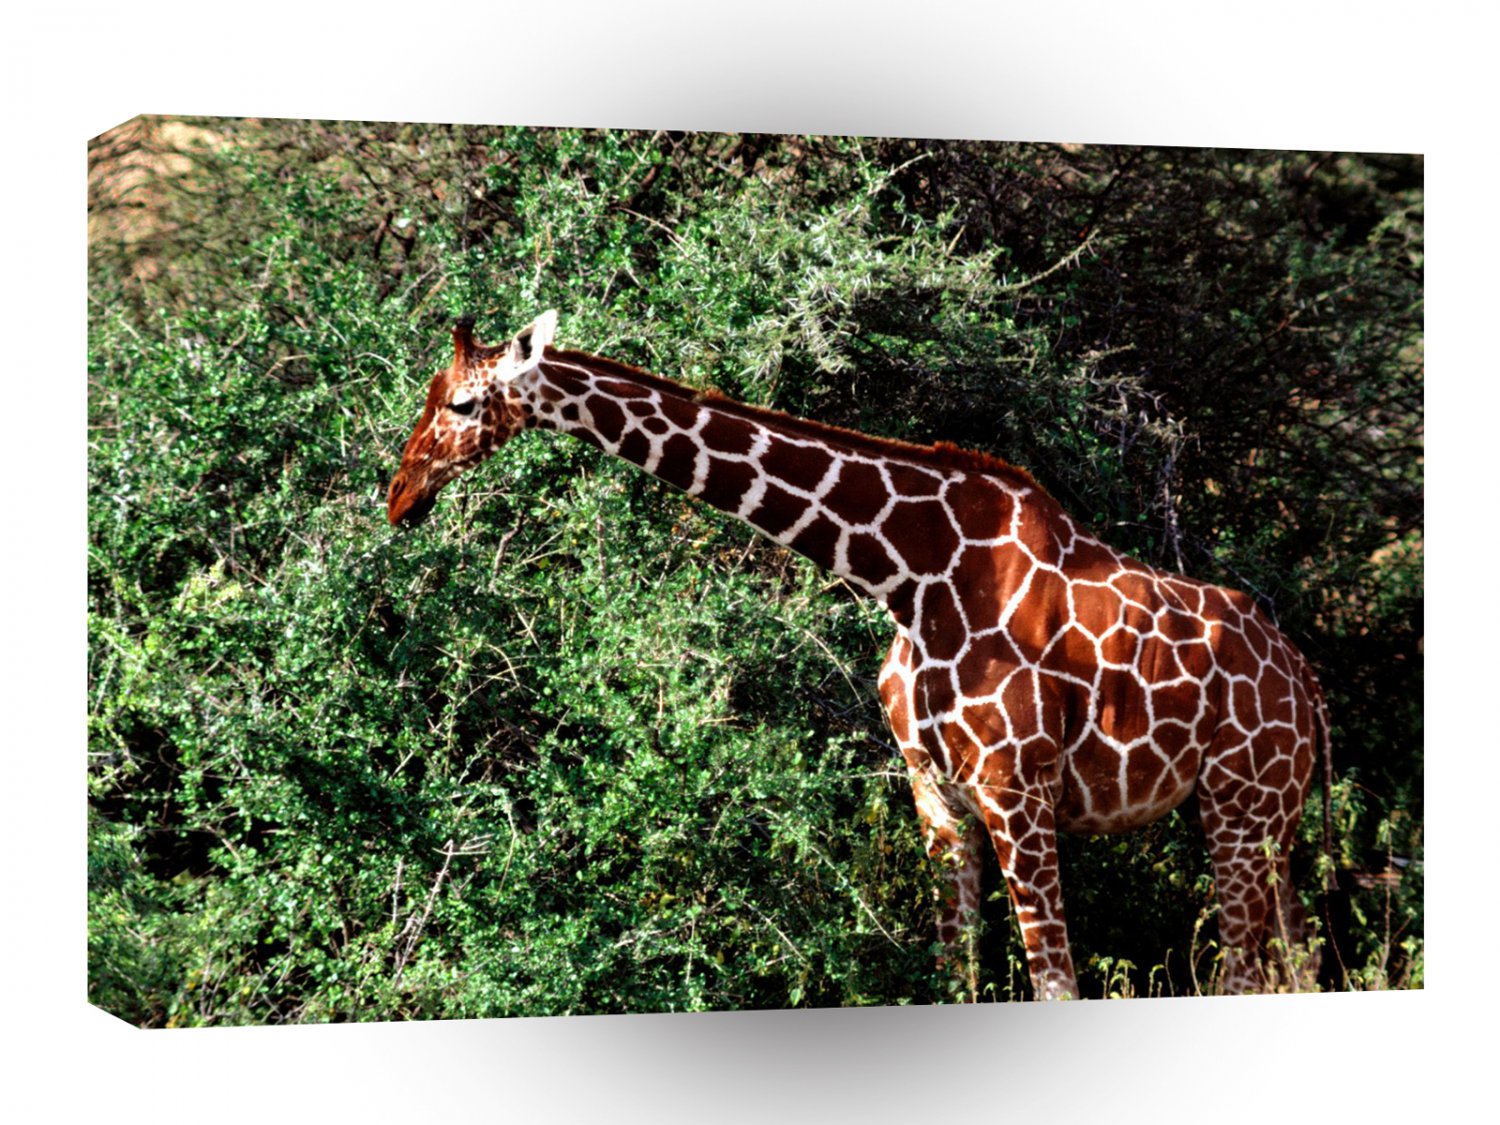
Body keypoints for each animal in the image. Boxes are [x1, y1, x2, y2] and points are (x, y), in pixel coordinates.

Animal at [388, 310, 1333, 1001]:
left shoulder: (1017, 792)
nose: (400, 495)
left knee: (1247, 974)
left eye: (463, 405)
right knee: (1300, 963)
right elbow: (957, 978)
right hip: (1269, 821)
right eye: (431, 393)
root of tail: (1307, 682)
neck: (909, 578)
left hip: (1240, 808)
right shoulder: (937, 794)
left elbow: (1055, 984)